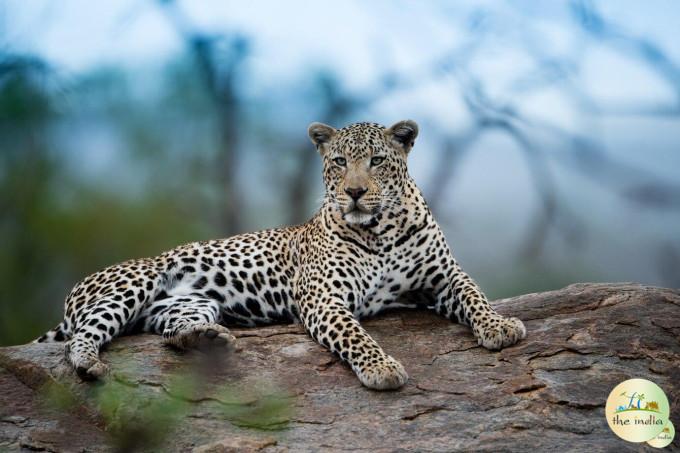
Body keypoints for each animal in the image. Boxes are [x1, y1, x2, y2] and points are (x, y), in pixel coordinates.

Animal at [36, 120, 526, 390]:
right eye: (338, 162)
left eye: (377, 161)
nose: (354, 192)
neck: (381, 231)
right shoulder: (325, 298)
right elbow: (356, 335)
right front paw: (381, 367)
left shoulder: (444, 278)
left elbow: (475, 295)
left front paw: (500, 326)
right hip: (133, 284)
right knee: (83, 337)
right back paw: (90, 365)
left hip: (185, 306)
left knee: (170, 334)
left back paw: (207, 340)